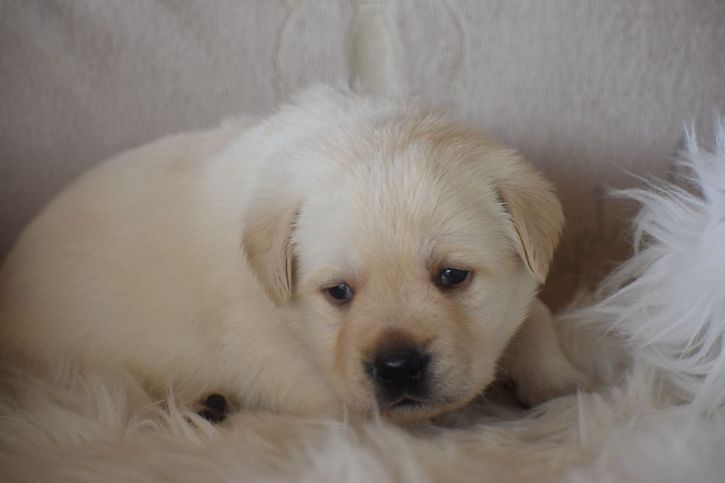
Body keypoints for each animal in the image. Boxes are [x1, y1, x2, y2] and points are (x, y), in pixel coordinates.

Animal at [0, 87, 588, 424]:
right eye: (339, 292)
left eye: (452, 276)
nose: (397, 366)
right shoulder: (278, 363)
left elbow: (535, 313)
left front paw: (561, 381)